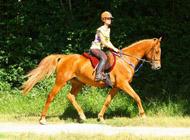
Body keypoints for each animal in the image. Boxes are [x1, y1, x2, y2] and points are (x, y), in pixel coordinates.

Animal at [21, 37, 162, 124]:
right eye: (156, 51)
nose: (158, 67)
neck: (125, 60)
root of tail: (64, 57)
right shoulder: (123, 84)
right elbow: (137, 97)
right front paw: (143, 115)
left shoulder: (116, 87)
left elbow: (107, 101)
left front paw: (100, 117)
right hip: (60, 81)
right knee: (51, 96)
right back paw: (42, 119)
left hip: (77, 83)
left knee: (70, 96)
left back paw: (82, 116)